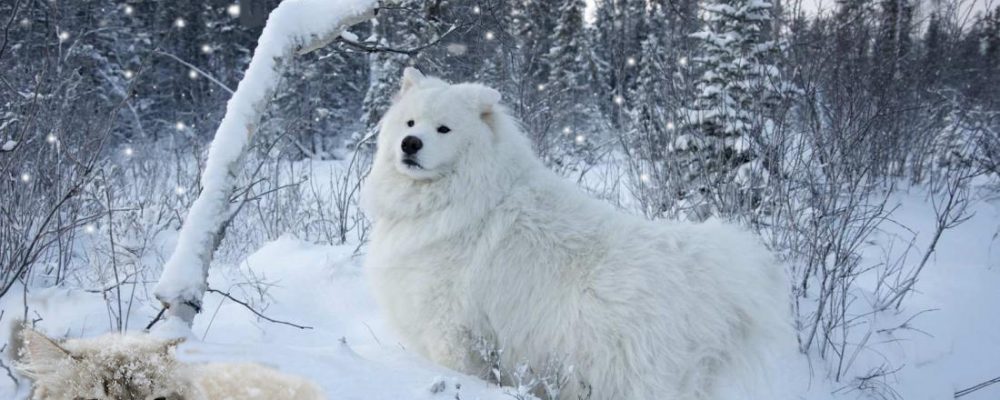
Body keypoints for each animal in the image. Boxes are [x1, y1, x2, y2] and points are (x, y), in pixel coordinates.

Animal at [364, 69, 792, 400]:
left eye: (444, 129)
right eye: (409, 123)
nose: (410, 144)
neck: (461, 196)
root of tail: (709, 274)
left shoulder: (451, 331)